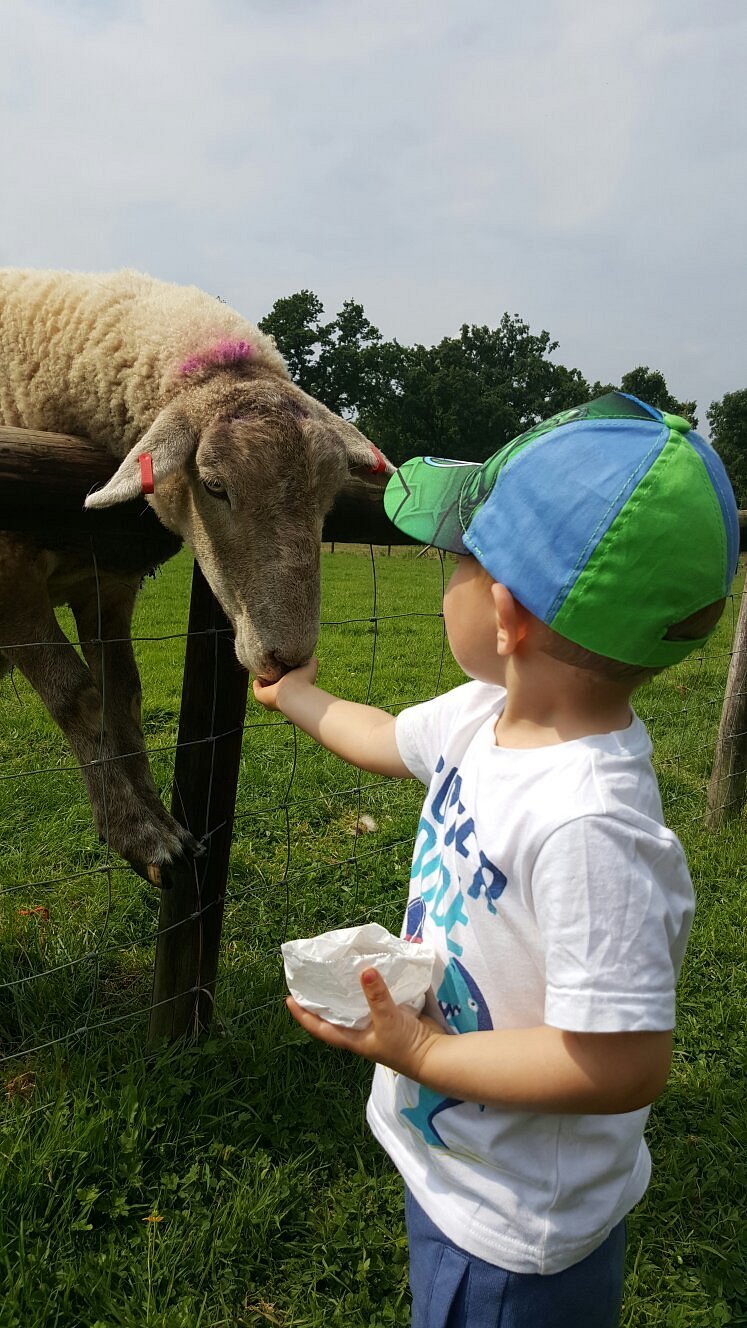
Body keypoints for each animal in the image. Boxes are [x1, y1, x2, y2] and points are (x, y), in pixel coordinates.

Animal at [0, 266, 393, 881]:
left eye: (331, 497)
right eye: (213, 486)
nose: (288, 659)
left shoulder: (106, 585)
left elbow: (123, 693)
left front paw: (159, 817)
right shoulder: (10, 578)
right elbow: (77, 694)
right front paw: (137, 831)